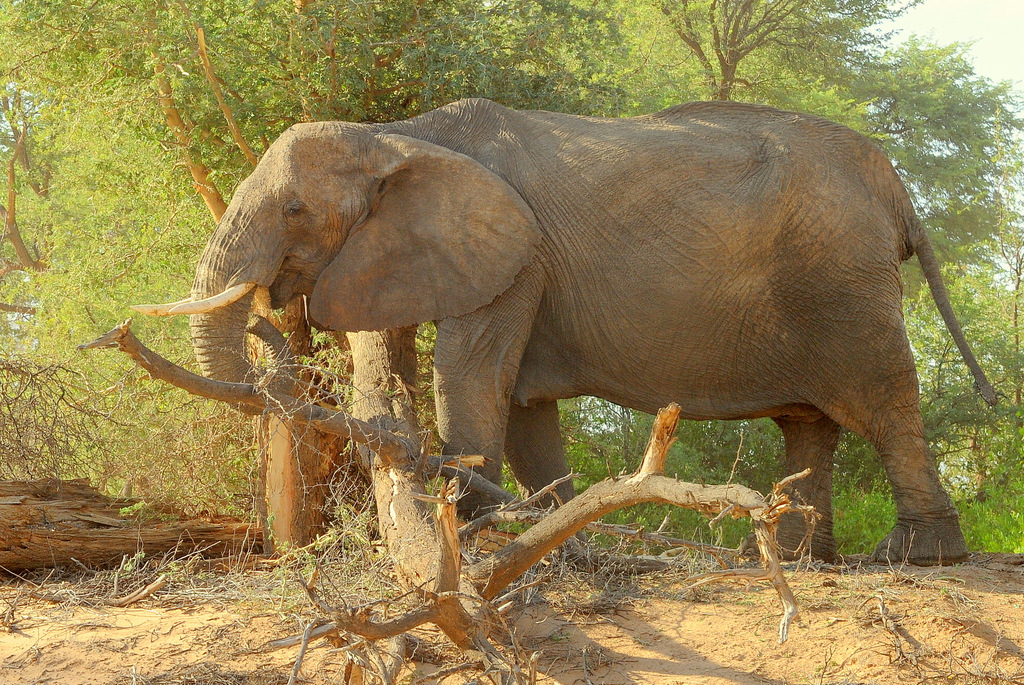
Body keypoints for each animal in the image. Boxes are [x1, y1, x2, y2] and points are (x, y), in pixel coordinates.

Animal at [136, 97, 991, 565]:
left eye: (294, 210)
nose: (268, 314)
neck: (396, 131)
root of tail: (894, 185)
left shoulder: (517, 254)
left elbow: (473, 376)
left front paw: (476, 536)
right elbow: (502, 402)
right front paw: (551, 540)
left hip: (841, 281)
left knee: (883, 401)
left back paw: (915, 556)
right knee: (809, 422)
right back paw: (797, 556)